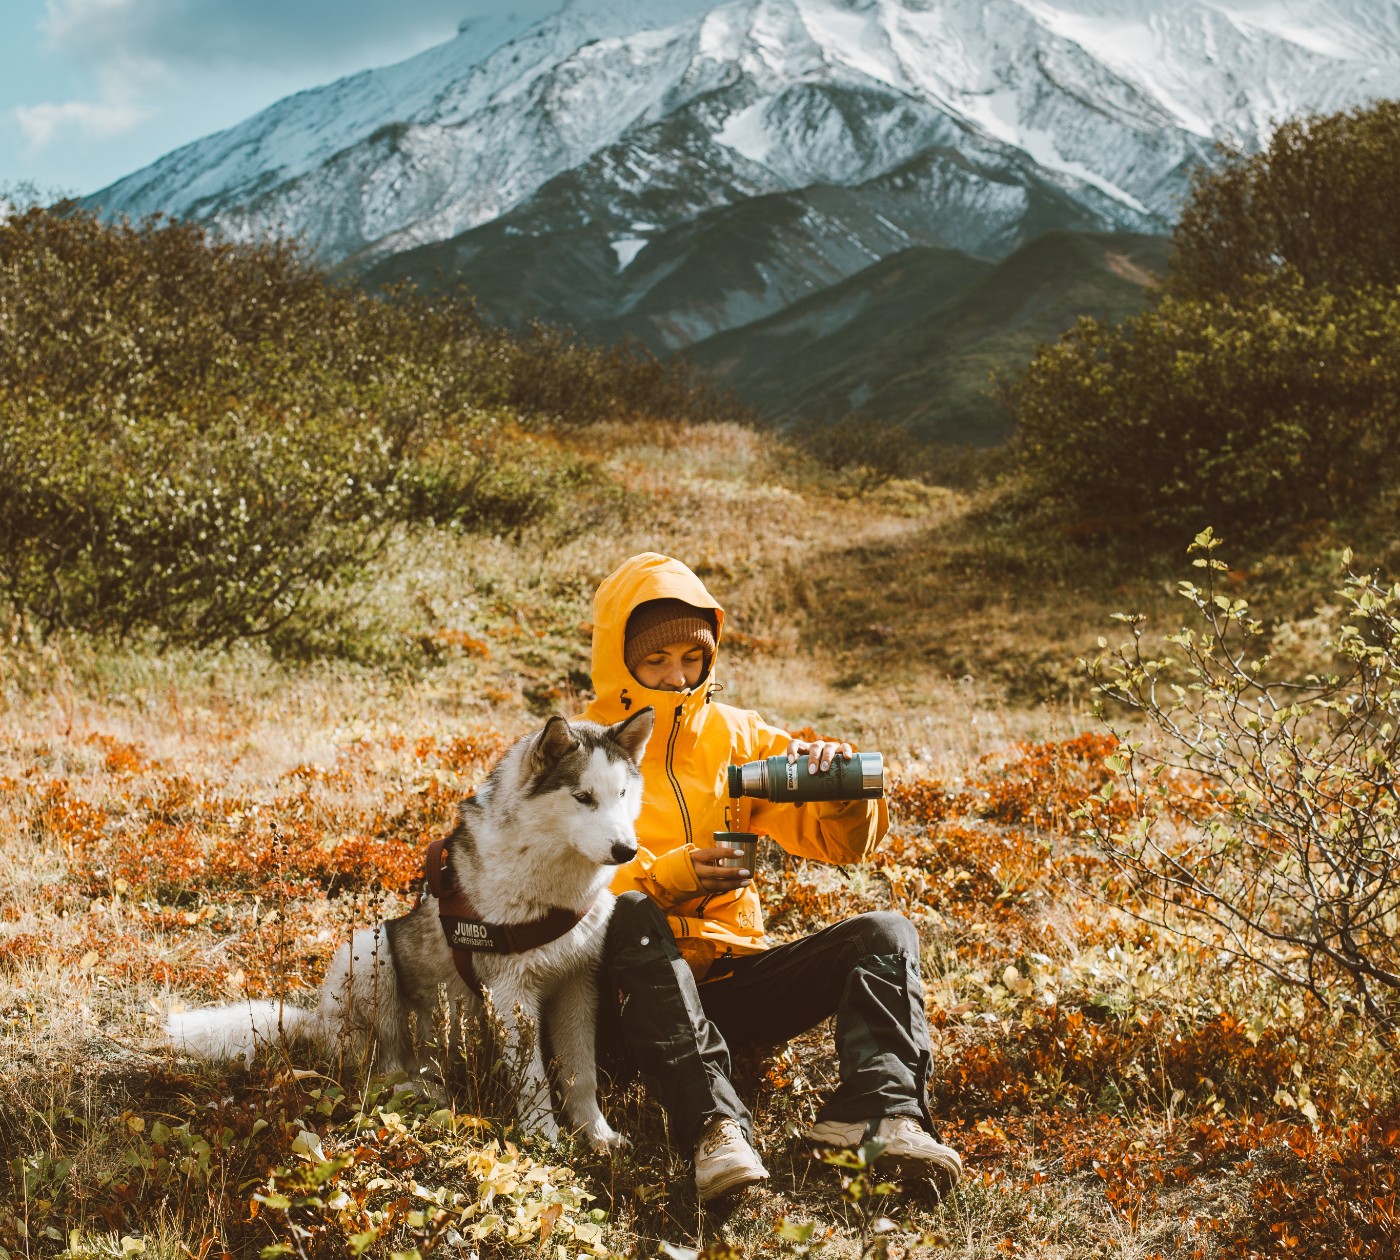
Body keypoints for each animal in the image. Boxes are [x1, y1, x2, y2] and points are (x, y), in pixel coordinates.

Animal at [166, 708, 652, 1153]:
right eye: (582, 796)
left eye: (621, 794)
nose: (626, 850)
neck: (554, 891)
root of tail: (317, 1021)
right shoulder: (513, 993)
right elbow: (532, 1081)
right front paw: (543, 1140)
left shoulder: (577, 984)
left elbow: (581, 1075)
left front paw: (598, 1135)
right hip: (367, 950)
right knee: (380, 1069)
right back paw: (417, 1090)